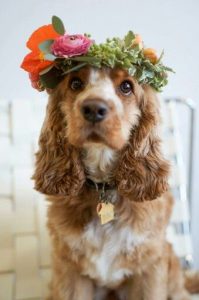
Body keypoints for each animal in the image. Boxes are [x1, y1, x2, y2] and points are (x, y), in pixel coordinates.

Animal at [33, 67, 197, 298]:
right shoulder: (69, 268)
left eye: (127, 86)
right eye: (75, 83)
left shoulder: (150, 266)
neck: (103, 186)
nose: (93, 108)